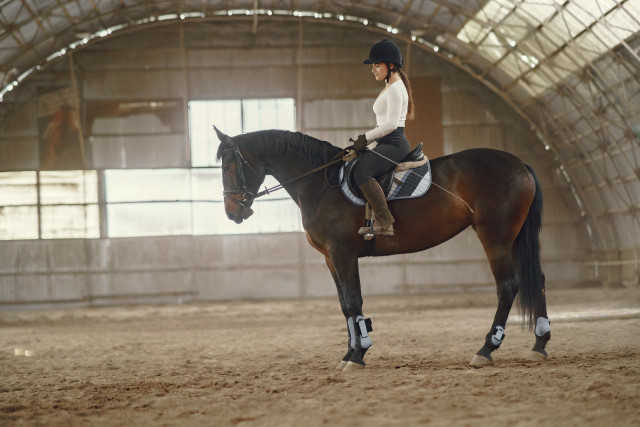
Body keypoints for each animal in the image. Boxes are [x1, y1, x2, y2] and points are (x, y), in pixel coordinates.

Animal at [215, 127, 551, 371]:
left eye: (230, 166)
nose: (232, 212)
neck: (319, 184)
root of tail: (519, 164)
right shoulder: (330, 258)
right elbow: (344, 305)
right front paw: (350, 352)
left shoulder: (342, 252)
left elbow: (354, 301)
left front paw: (357, 355)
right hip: (514, 239)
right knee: (537, 281)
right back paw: (539, 345)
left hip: (496, 238)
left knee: (508, 286)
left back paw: (486, 349)